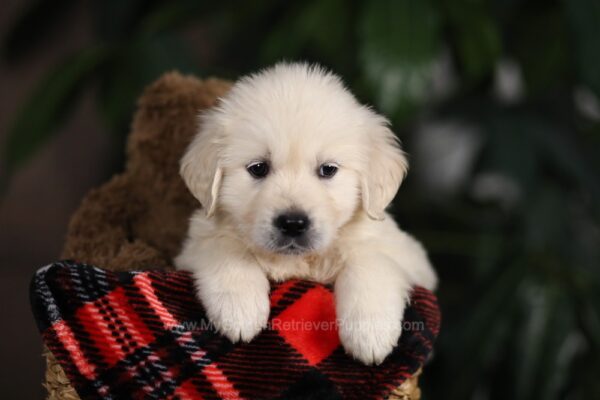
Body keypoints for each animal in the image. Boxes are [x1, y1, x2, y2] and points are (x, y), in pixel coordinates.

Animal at [173, 63, 436, 366]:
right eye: (258, 168)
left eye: (328, 169)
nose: (293, 223)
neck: (297, 261)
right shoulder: (196, 243)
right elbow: (226, 248)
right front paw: (238, 309)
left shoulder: (405, 254)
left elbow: (369, 261)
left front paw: (370, 334)